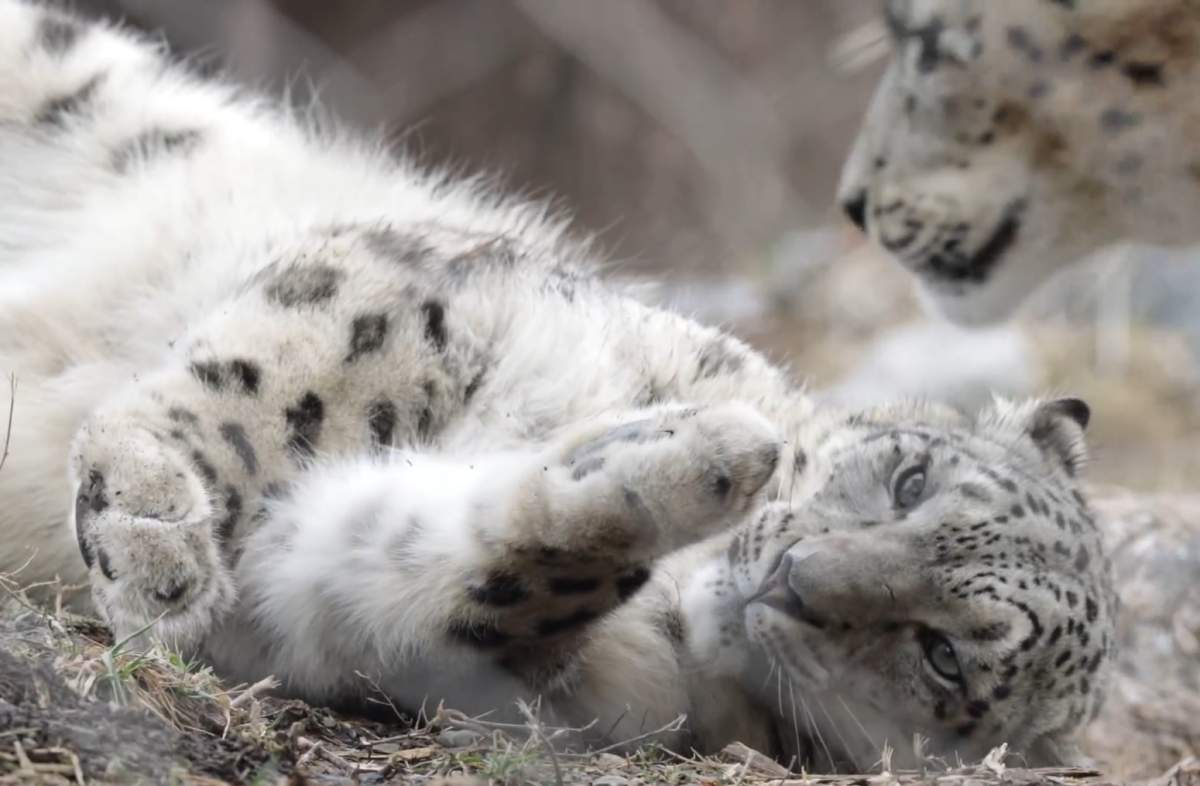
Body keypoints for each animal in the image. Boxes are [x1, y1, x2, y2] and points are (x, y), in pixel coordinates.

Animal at [0, 0, 1115, 771]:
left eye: (943, 656)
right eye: (909, 481)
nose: (793, 578)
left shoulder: (376, 615)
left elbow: (466, 571)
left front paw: (685, 468)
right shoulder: (445, 283)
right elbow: (283, 382)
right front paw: (153, 536)